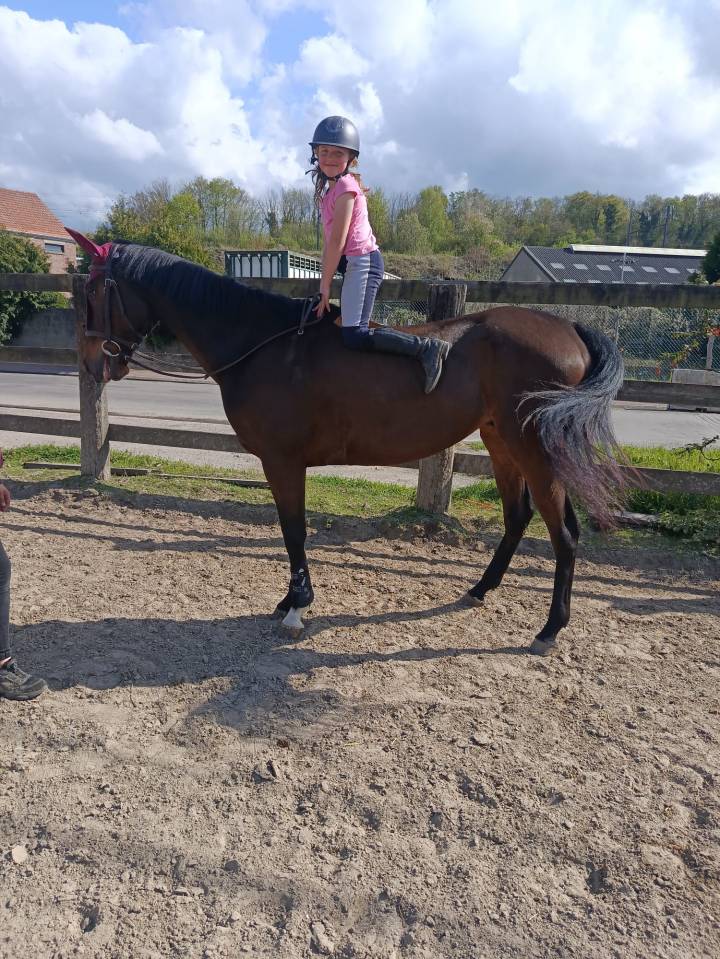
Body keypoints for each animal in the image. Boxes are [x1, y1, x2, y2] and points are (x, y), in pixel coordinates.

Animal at [67, 230, 625, 655]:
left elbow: (293, 530)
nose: (93, 364)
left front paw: (296, 606)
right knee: (518, 517)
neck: (261, 344)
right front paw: (290, 600)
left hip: (533, 448)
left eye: (92, 295)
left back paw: (550, 629)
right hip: (499, 441)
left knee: (563, 534)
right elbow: (292, 532)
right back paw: (480, 589)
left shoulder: (282, 461)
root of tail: (567, 326)